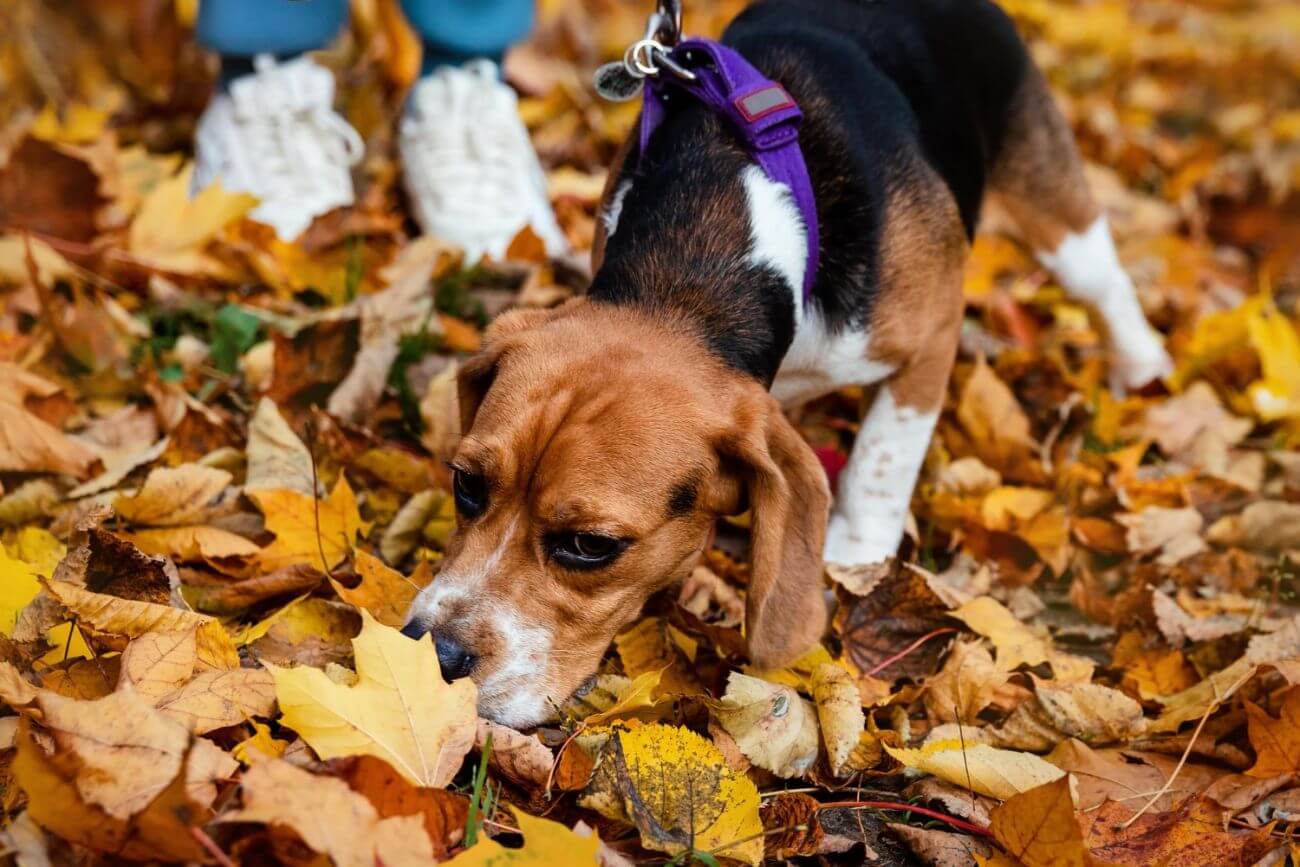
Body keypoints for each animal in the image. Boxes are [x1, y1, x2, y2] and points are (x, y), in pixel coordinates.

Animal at [403, 0, 1170, 727]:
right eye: (466, 485)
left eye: (590, 545)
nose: (434, 655)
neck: (688, 279)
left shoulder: (933, 333)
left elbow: (886, 455)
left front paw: (856, 551)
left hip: (1055, 212)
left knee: (1105, 285)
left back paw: (1141, 366)